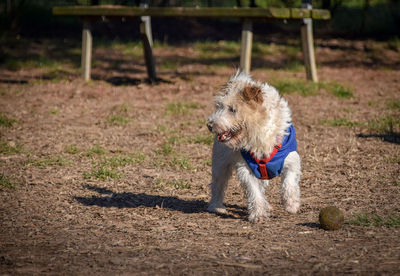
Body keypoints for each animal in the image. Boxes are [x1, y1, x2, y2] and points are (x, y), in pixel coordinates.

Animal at [208, 71, 298, 222]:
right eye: (219, 106)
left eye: (232, 109)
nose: (209, 125)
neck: (258, 134)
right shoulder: (246, 168)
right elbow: (254, 192)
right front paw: (258, 215)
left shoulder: (291, 159)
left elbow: (289, 183)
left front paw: (291, 204)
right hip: (220, 164)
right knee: (217, 185)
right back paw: (216, 206)